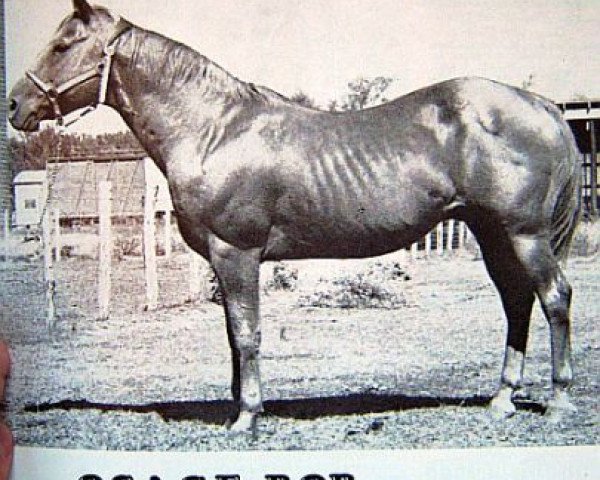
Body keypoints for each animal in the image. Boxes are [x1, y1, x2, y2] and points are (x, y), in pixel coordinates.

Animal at [8, 0, 580, 434]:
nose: (15, 105)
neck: (213, 130)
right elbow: (233, 333)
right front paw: (239, 407)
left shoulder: (236, 253)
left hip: (525, 234)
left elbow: (247, 333)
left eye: (63, 45)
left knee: (554, 297)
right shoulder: (222, 260)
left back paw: (558, 399)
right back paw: (502, 399)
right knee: (516, 302)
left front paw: (247, 418)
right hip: (492, 234)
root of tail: (543, 106)